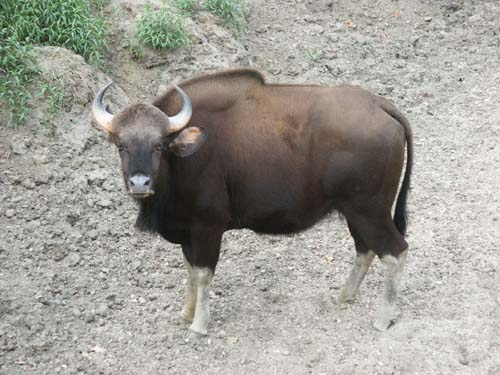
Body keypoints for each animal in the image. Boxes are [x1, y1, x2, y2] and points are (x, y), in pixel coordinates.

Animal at [92, 69, 412, 336]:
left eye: (159, 145)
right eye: (121, 146)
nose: (139, 183)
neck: (184, 157)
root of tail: (380, 105)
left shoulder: (208, 226)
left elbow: (203, 274)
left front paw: (199, 324)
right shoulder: (186, 231)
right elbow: (190, 271)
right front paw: (187, 312)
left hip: (370, 210)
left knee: (395, 252)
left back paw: (382, 319)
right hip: (355, 211)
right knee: (365, 249)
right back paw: (343, 296)